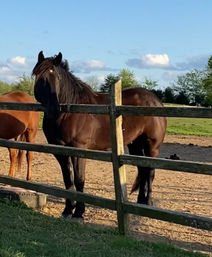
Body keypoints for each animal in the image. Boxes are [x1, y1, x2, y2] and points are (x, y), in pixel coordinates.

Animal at [32, 51, 166, 218]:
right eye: (40, 77)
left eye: (57, 78)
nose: (54, 109)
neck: (69, 113)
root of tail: (156, 101)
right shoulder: (60, 150)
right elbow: (68, 179)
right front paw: (68, 210)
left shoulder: (79, 150)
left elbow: (79, 179)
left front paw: (79, 212)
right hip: (135, 144)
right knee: (142, 169)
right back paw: (140, 203)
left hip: (152, 146)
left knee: (150, 172)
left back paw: (147, 203)